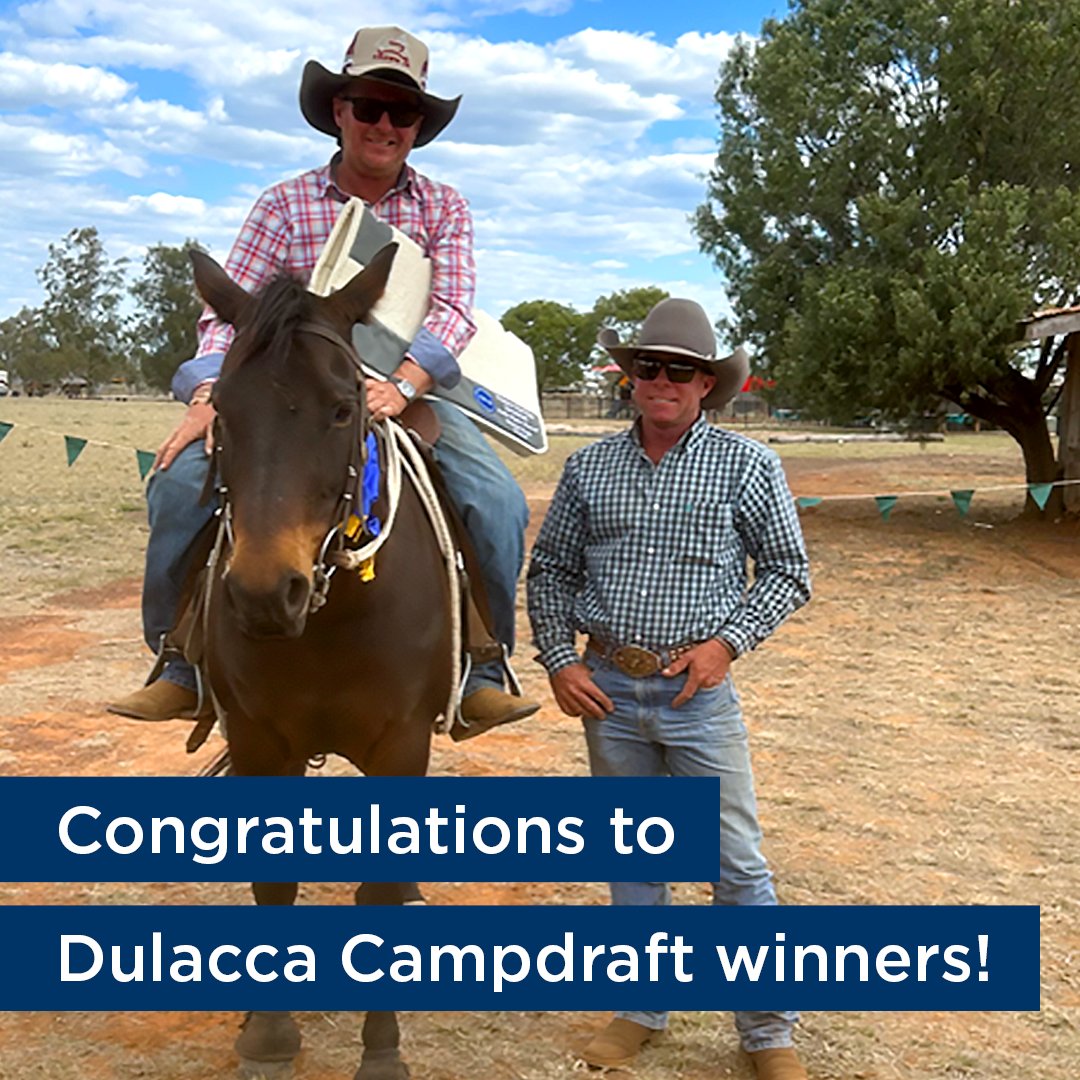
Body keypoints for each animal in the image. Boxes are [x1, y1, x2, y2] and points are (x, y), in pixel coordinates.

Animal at [192, 247, 449, 1080]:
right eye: (223, 410)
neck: (328, 619)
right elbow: (273, 882)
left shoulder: (401, 745)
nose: (266, 592)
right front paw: (268, 1032)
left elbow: (378, 890)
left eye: (343, 408)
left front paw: (382, 1050)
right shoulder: (257, 741)